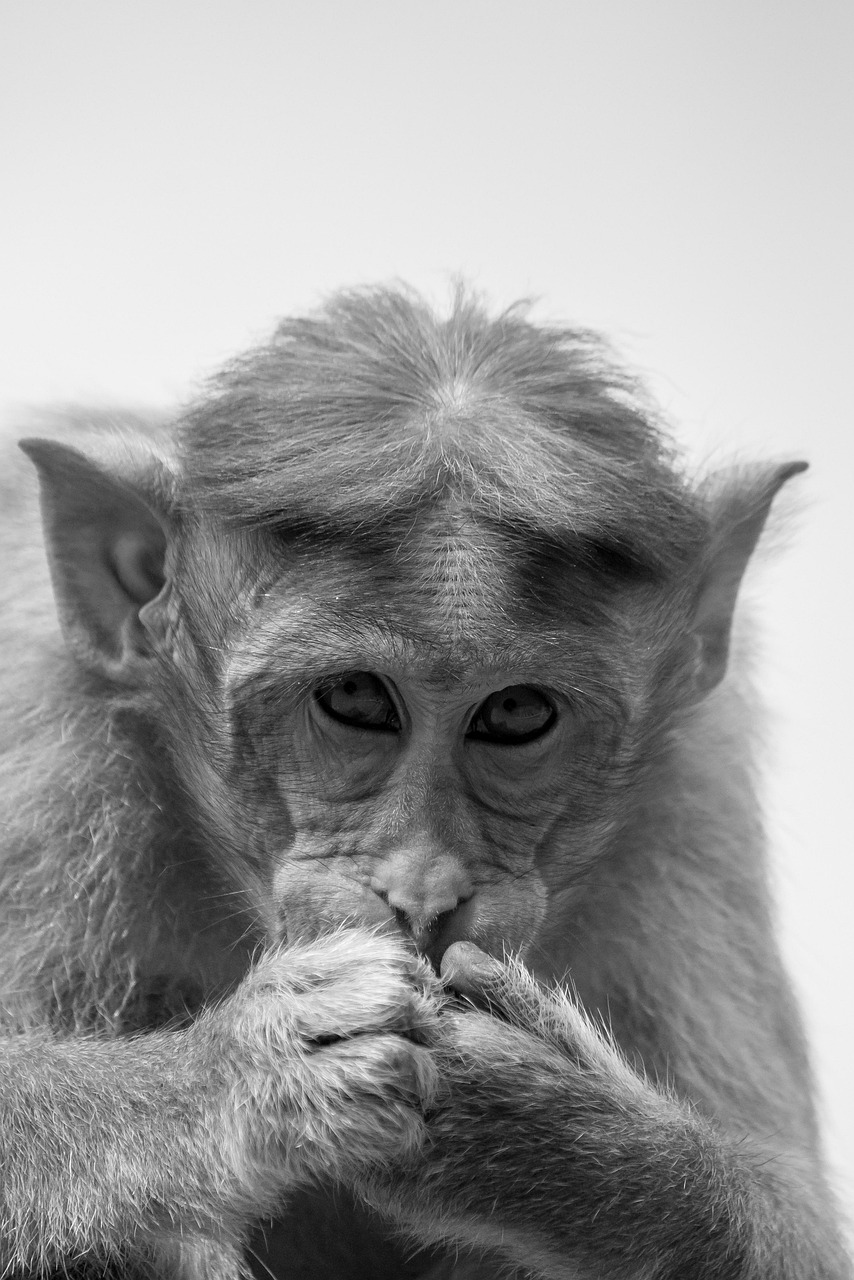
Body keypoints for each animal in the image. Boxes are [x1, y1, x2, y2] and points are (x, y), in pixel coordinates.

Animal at [0, 287, 850, 1279]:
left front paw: (568, 1134)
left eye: (515, 713)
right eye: (356, 698)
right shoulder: (45, 747)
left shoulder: (696, 806)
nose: (425, 894)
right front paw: (238, 1078)